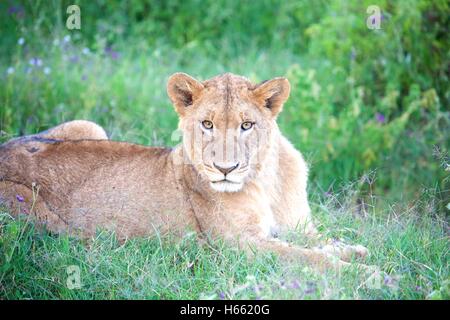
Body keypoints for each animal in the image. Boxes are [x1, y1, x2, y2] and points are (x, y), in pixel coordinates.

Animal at [0, 74, 370, 272]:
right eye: (206, 124)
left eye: (246, 125)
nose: (225, 169)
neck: (264, 180)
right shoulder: (238, 246)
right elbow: (305, 257)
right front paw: (365, 274)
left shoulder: (297, 228)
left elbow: (320, 243)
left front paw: (355, 251)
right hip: (34, 208)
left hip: (88, 126)